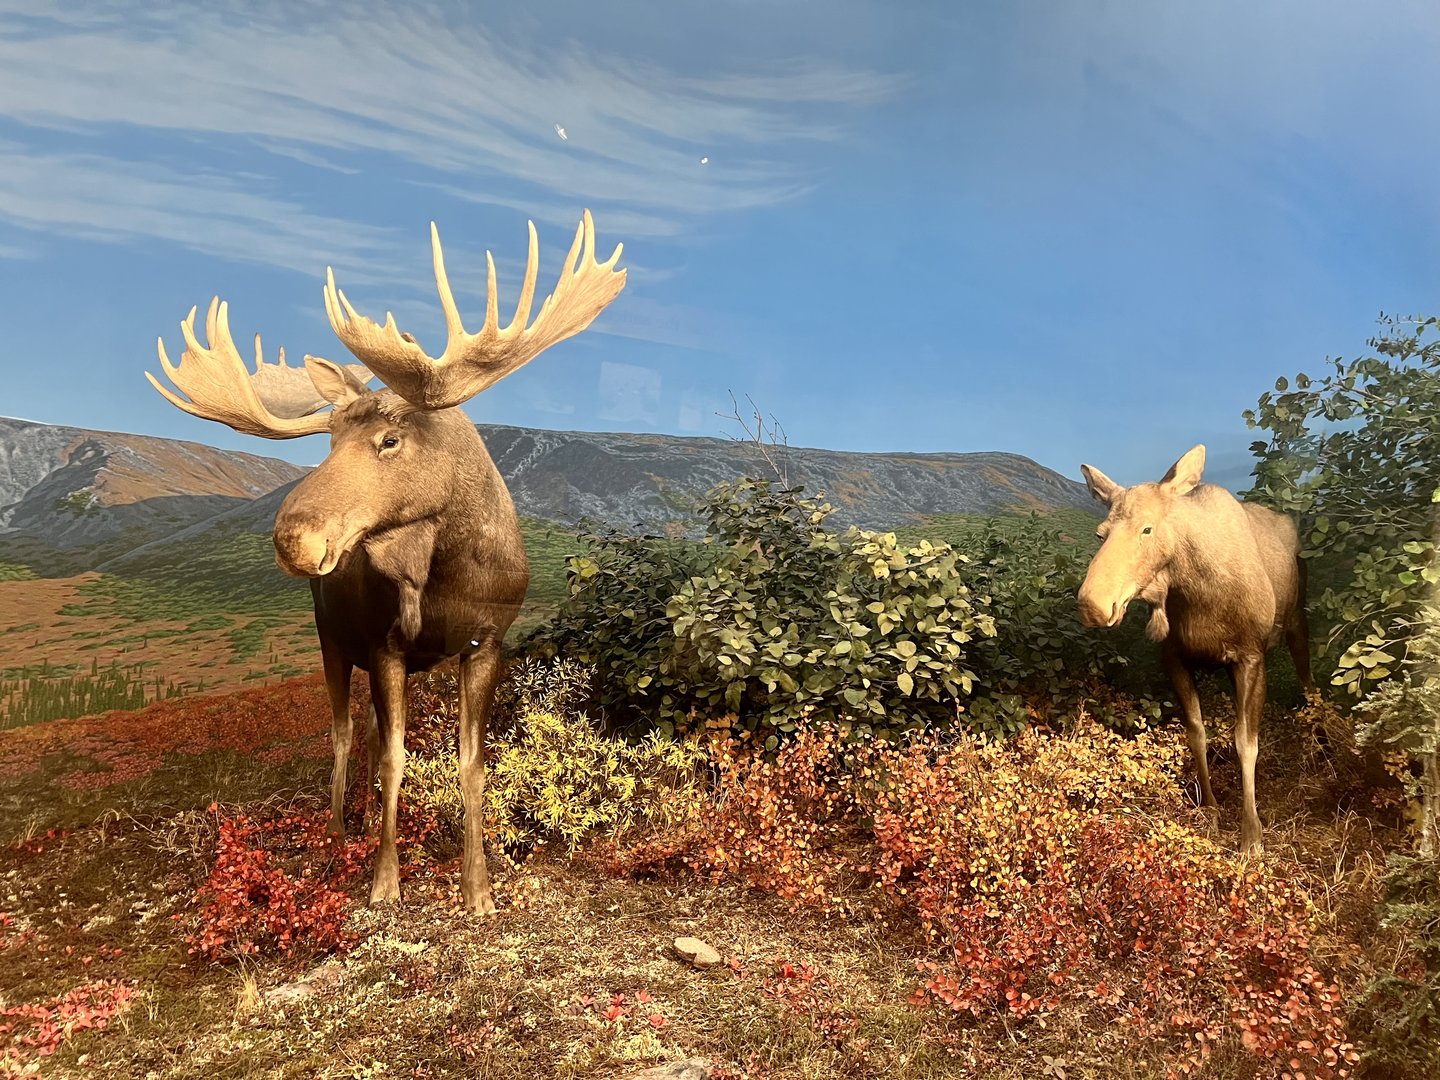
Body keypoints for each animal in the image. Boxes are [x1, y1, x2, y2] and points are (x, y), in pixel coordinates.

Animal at [146, 211, 627, 912]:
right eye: (327, 440)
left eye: (390, 439)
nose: (292, 537)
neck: (450, 578)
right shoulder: (383, 644)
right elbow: (397, 755)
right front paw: (384, 880)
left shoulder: (487, 643)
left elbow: (468, 761)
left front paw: (478, 888)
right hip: (331, 641)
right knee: (346, 732)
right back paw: (338, 830)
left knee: (368, 735)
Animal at [1075, 444, 1314, 853]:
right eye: (1100, 533)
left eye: (1147, 528)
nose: (1093, 604)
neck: (1196, 592)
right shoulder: (1175, 658)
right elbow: (1197, 734)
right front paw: (1210, 808)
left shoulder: (1251, 657)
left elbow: (1245, 742)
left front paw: (1251, 833)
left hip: (1297, 619)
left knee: (1309, 680)